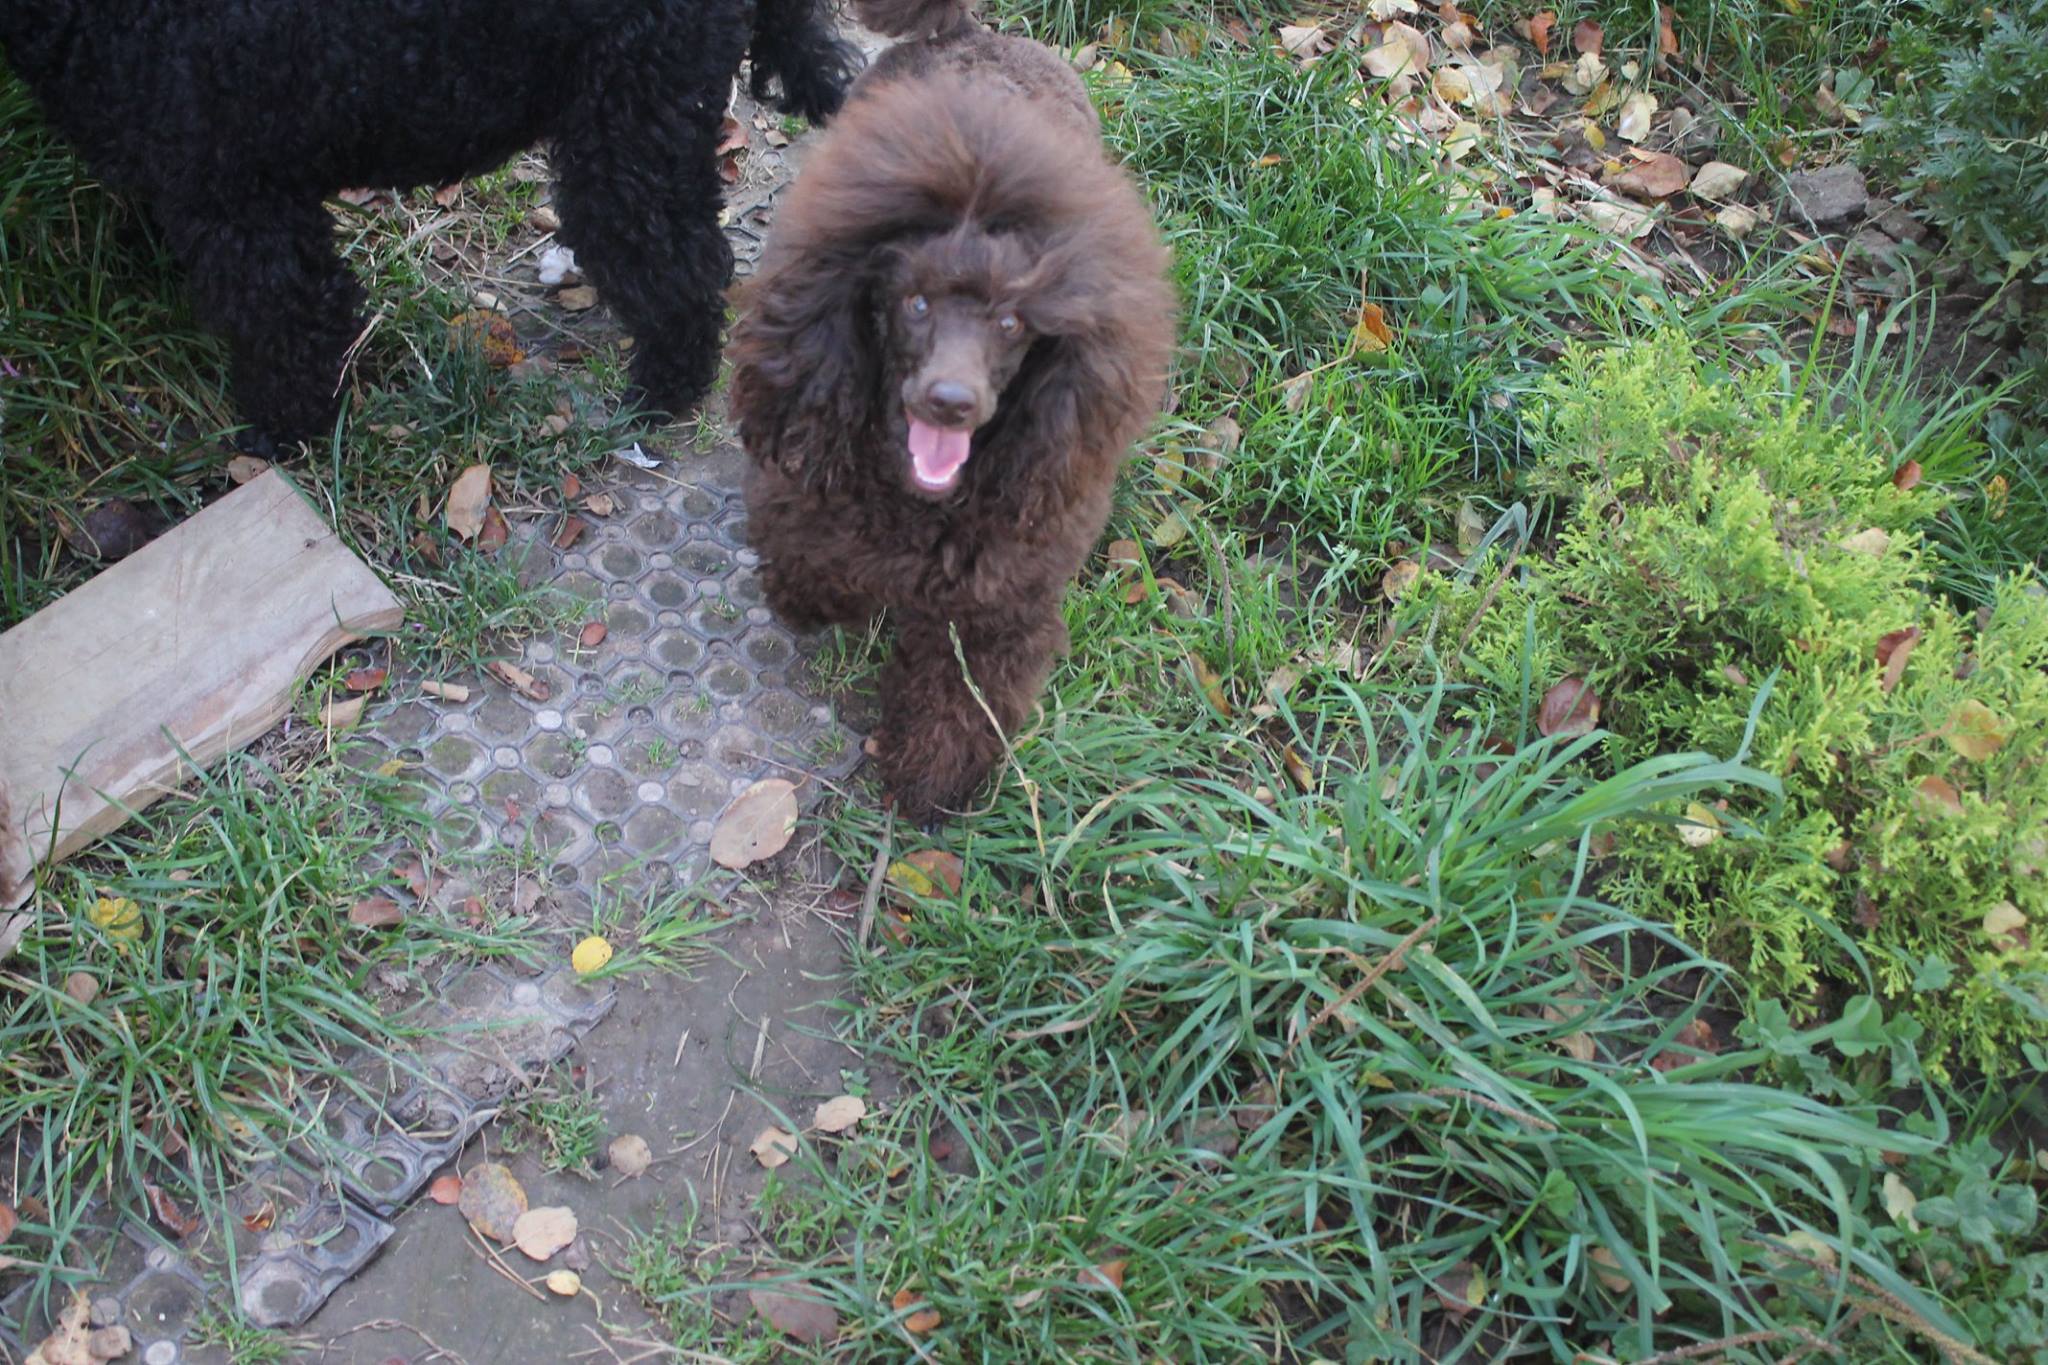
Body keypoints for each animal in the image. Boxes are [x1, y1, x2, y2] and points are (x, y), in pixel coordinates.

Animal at [0, 0, 862, 450]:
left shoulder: (246, 201)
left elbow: (292, 328)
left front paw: (281, 439)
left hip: (628, 122)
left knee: (682, 270)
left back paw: (660, 392)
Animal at [729, 0, 1176, 822]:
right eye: (914, 303)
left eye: (1011, 323)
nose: (951, 401)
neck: (917, 504)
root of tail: (965, 30)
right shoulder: (806, 487)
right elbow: (810, 561)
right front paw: (817, 599)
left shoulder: (1002, 600)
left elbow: (961, 701)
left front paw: (927, 781)